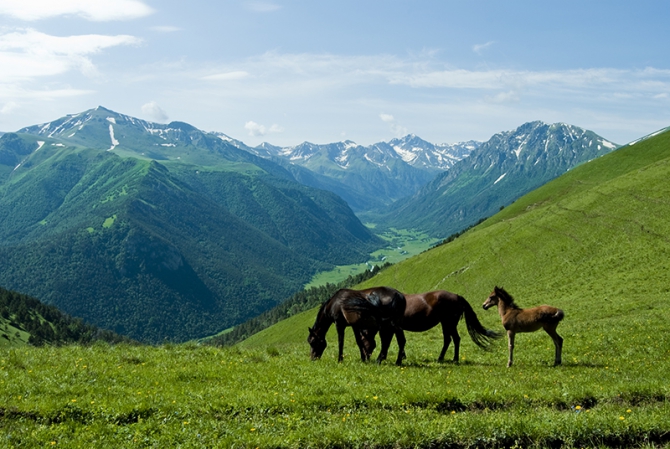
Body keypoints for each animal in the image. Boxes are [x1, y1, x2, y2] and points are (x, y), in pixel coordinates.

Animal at [368, 290, 504, 364]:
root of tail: (457, 296)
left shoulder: (391, 327)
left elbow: (388, 342)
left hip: (448, 323)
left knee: (454, 339)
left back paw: (453, 359)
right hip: (447, 324)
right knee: (450, 339)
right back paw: (444, 358)